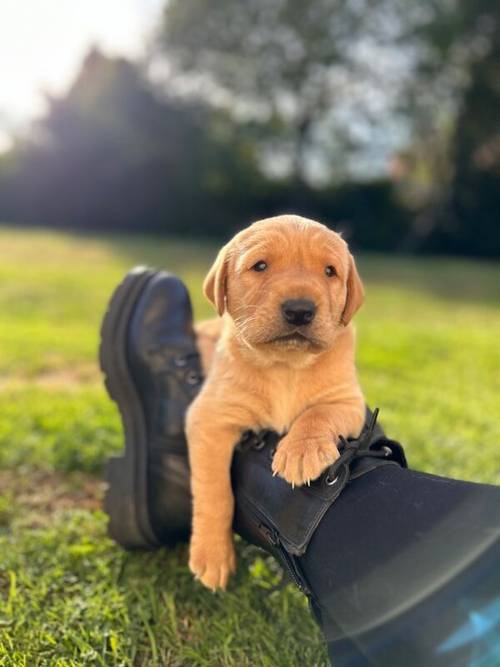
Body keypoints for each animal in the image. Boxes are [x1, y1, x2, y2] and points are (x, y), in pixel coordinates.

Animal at [186, 214, 366, 588]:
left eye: (330, 271)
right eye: (260, 266)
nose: (300, 310)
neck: (286, 365)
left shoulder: (349, 401)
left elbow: (318, 413)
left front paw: (301, 451)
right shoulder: (210, 416)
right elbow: (213, 490)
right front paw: (212, 555)